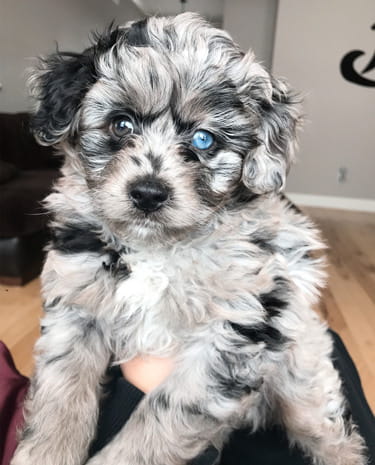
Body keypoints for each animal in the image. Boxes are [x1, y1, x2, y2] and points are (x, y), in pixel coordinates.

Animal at [11, 10, 368, 464]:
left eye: (203, 139)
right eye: (121, 124)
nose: (148, 193)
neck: (159, 247)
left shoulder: (237, 327)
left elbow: (165, 414)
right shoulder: (76, 304)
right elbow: (61, 393)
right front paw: (44, 452)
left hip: (307, 382)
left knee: (335, 436)